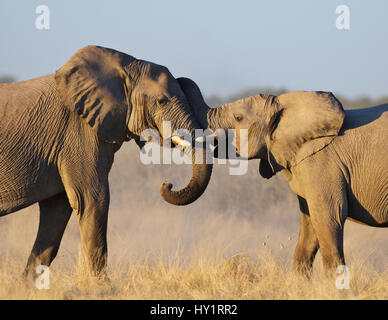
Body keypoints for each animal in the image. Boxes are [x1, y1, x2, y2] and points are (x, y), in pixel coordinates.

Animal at [0, 45, 212, 278]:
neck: (126, 65)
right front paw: (100, 284)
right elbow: (92, 199)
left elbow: (57, 210)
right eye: (162, 101)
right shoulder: (77, 133)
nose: (168, 184)